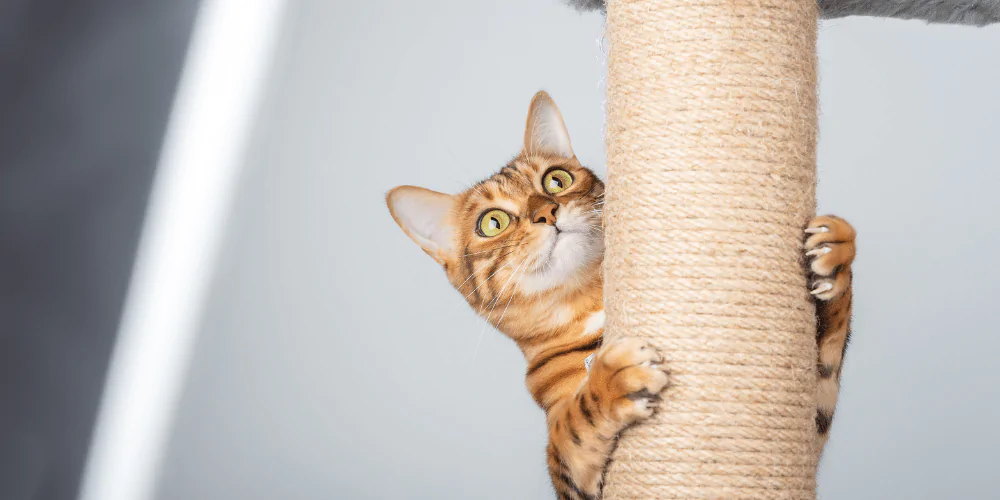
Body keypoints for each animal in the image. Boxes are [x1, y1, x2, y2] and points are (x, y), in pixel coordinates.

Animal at [382, 92, 852, 498]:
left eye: (556, 180)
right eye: (492, 222)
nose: (546, 212)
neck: (591, 305)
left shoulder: (813, 423)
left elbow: (827, 357)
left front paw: (835, 254)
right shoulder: (573, 478)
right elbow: (572, 424)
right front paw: (612, 378)